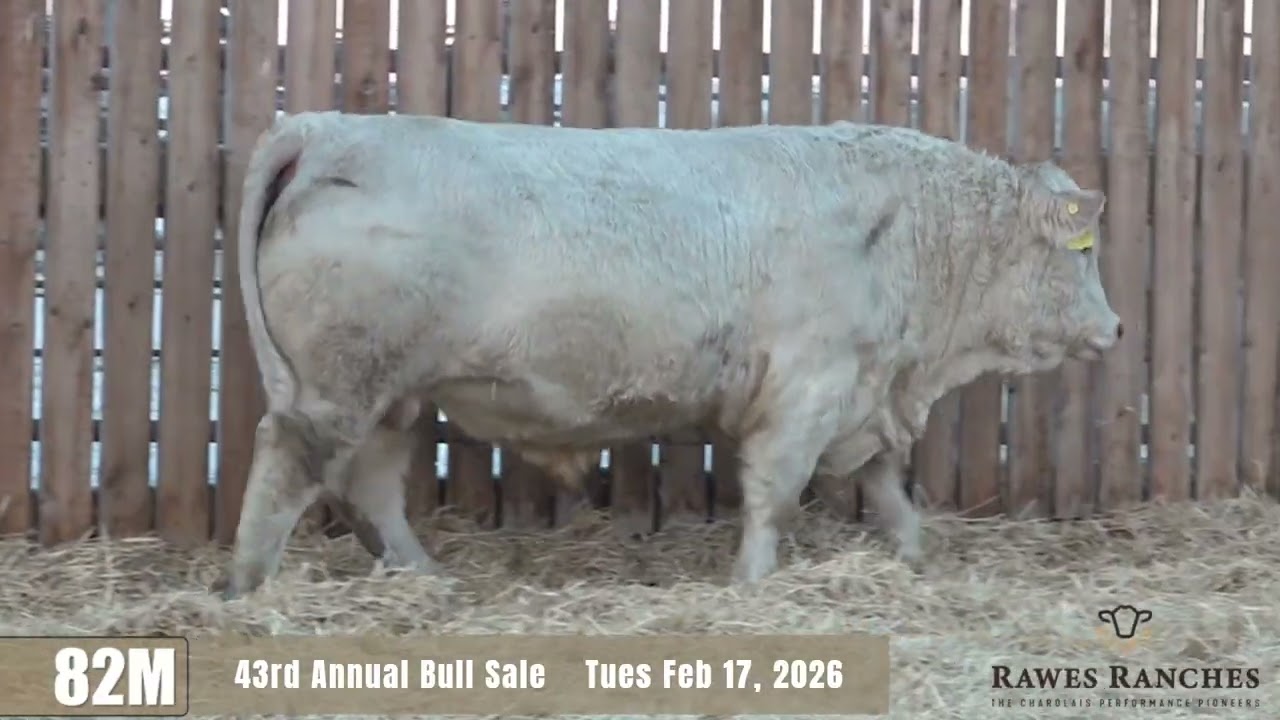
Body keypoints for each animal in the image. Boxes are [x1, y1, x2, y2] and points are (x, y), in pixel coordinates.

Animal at [212, 110, 1121, 599]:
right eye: (1081, 256)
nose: (1114, 328)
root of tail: (325, 129)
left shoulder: (858, 395)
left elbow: (885, 489)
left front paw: (913, 555)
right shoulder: (809, 388)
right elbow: (774, 496)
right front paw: (753, 583)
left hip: (395, 393)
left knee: (371, 485)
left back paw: (426, 577)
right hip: (340, 385)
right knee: (288, 461)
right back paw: (248, 586)